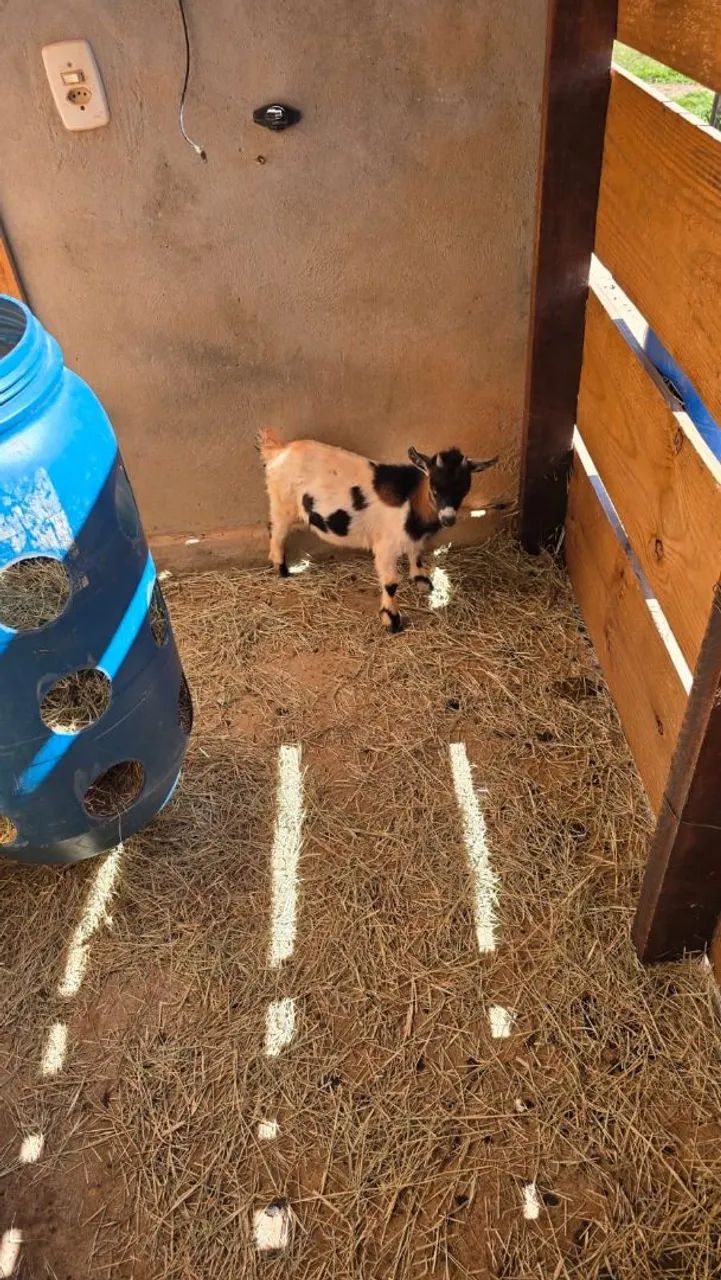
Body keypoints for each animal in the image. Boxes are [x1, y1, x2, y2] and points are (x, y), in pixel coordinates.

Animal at [258, 428, 500, 632]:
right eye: (434, 487)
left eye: (465, 489)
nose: (448, 518)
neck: (411, 499)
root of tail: (278, 450)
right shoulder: (386, 546)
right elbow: (390, 583)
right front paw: (391, 619)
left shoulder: (413, 537)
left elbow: (416, 553)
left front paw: (421, 580)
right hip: (282, 502)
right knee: (277, 529)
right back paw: (281, 569)